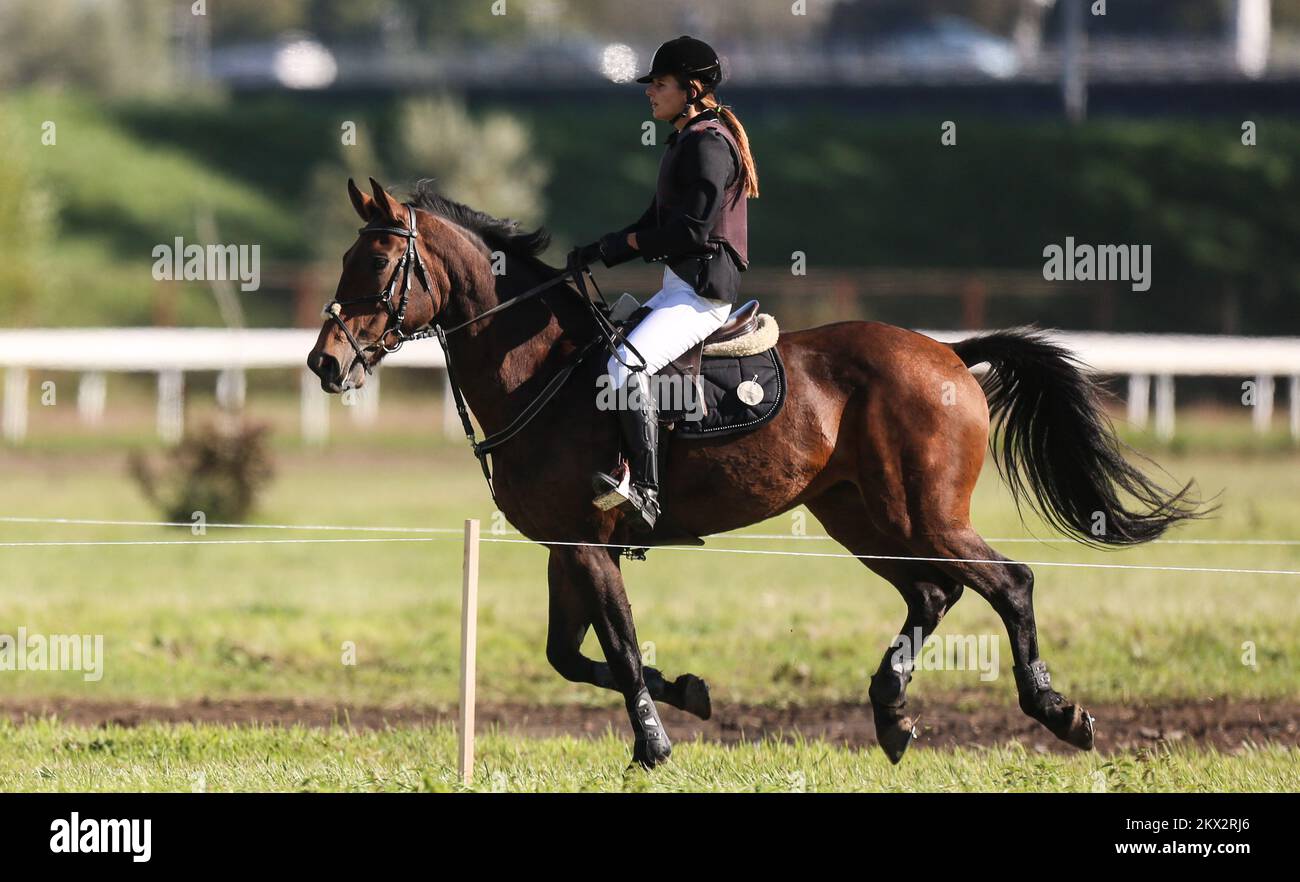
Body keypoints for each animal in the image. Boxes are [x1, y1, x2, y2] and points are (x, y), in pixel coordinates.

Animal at [309, 183, 1201, 770]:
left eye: (378, 264)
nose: (325, 363)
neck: (540, 367)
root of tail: (948, 353)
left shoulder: (590, 544)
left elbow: (620, 648)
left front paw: (655, 744)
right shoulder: (568, 546)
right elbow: (571, 656)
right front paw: (688, 692)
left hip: (926, 516)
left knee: (1008, 583)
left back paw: (1058, 713)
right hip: (865, 518)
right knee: (933, 593)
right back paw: (890, 713)